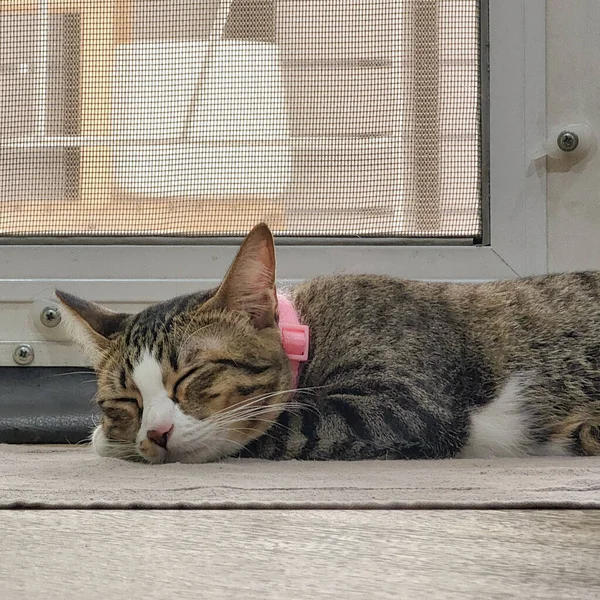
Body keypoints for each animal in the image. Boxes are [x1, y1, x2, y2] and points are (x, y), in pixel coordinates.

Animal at [58, 225, 600, 464]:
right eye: (125, 400)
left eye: (193, 375)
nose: (155, 433)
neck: (310, 332)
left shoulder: (406, 403)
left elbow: (282, 428)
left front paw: (106, 440)